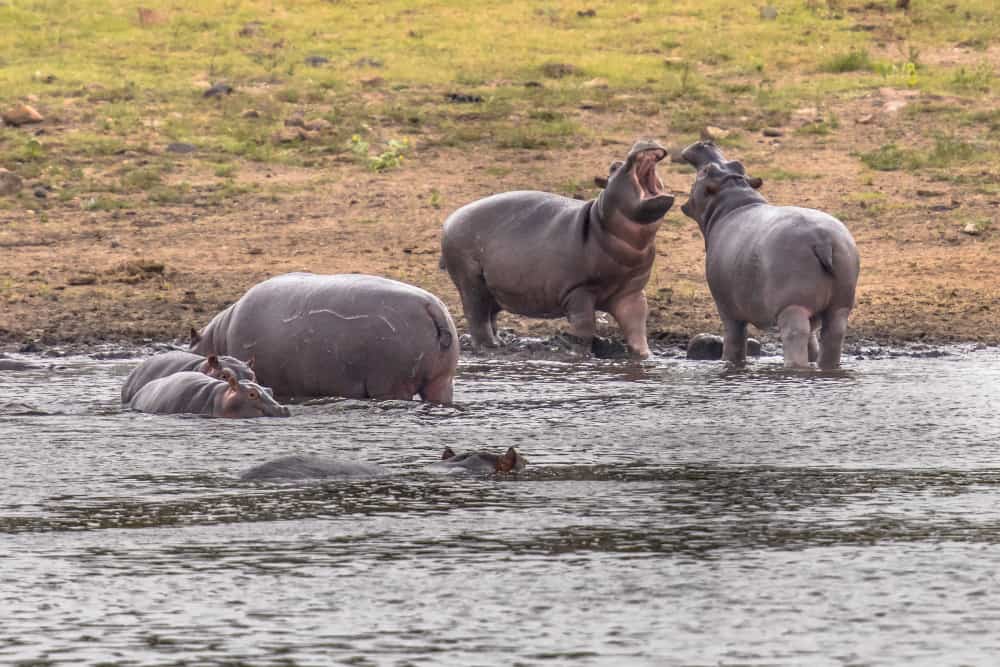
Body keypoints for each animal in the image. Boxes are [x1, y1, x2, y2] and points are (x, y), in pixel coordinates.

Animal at [442, 140, 676, 360]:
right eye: (614, 166)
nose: (645, 140)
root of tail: (449, 220)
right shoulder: (579, 289)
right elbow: (584, 326)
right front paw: (577, 352)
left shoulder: (631, 293)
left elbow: (637, 328)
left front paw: (645, 357)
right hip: (470, 281)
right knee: (476, 316)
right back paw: (490, 347)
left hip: (493, 289)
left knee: (489, 316)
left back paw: (499, 342)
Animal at [680, 142, 860, 370]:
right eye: (736, 164)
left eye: (706, 170)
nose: (706, 143)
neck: (733, 198)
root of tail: (823, 240)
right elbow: (812, 343)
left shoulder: (727, 308)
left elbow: (734, 341)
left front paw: (730, 363)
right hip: (840, 304)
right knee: (833, 335)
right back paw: (827, 368)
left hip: (792, 306)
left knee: (795, 335)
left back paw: (794, 367)